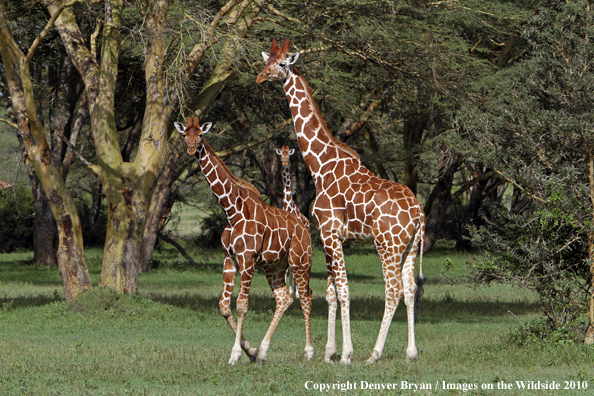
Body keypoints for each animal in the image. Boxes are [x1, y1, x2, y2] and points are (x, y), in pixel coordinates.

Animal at [256, 38, 424, 364]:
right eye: (266, 61)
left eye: (281, 63)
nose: (260, 77)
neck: (320, 166)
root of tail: (419, 212)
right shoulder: (329, 236)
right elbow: (331, 292)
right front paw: (329, 351)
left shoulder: (331, 233)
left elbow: (344, 290)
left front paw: (346, 352)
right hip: (410, 245)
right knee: (410, 289)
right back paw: (411, 352)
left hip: (387, 244)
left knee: (394, 289)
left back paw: (374, 353)